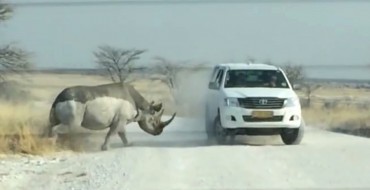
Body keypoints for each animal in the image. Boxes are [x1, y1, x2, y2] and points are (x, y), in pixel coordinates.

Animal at [46, 81, 176, 150]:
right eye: (154, 121)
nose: (159, 132)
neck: (143, 107)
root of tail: (58, 99)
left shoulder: (121, 119)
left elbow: (122, 133)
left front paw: (128, 144)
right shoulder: (120, 119)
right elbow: (112, 132)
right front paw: (105, 148)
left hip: (62, 105)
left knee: (52, 124)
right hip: (74, 105)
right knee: (72, 125)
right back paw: (52, 145)